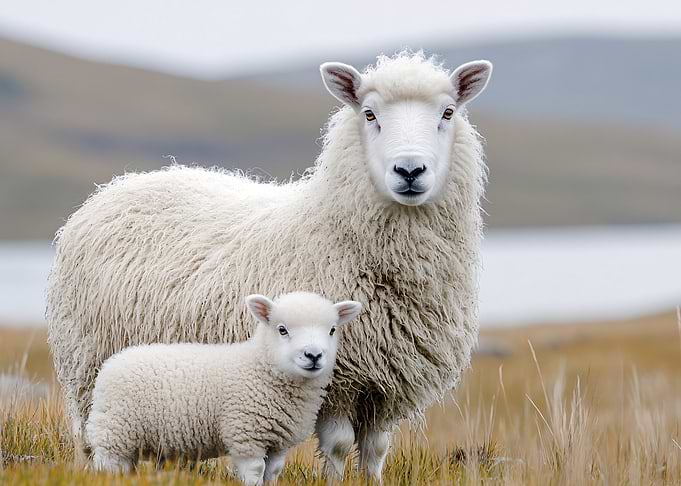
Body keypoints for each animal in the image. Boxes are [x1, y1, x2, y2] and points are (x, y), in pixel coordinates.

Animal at [86, 292, 362, 485]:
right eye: (282, 329)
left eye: (332, 330)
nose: (313, 355)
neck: (260, 366)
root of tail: (112, 363)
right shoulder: (246, 433)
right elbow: (255, 471)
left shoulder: (278, 441)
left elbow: (273, 472)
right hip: (115, 433)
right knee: (106, 466)